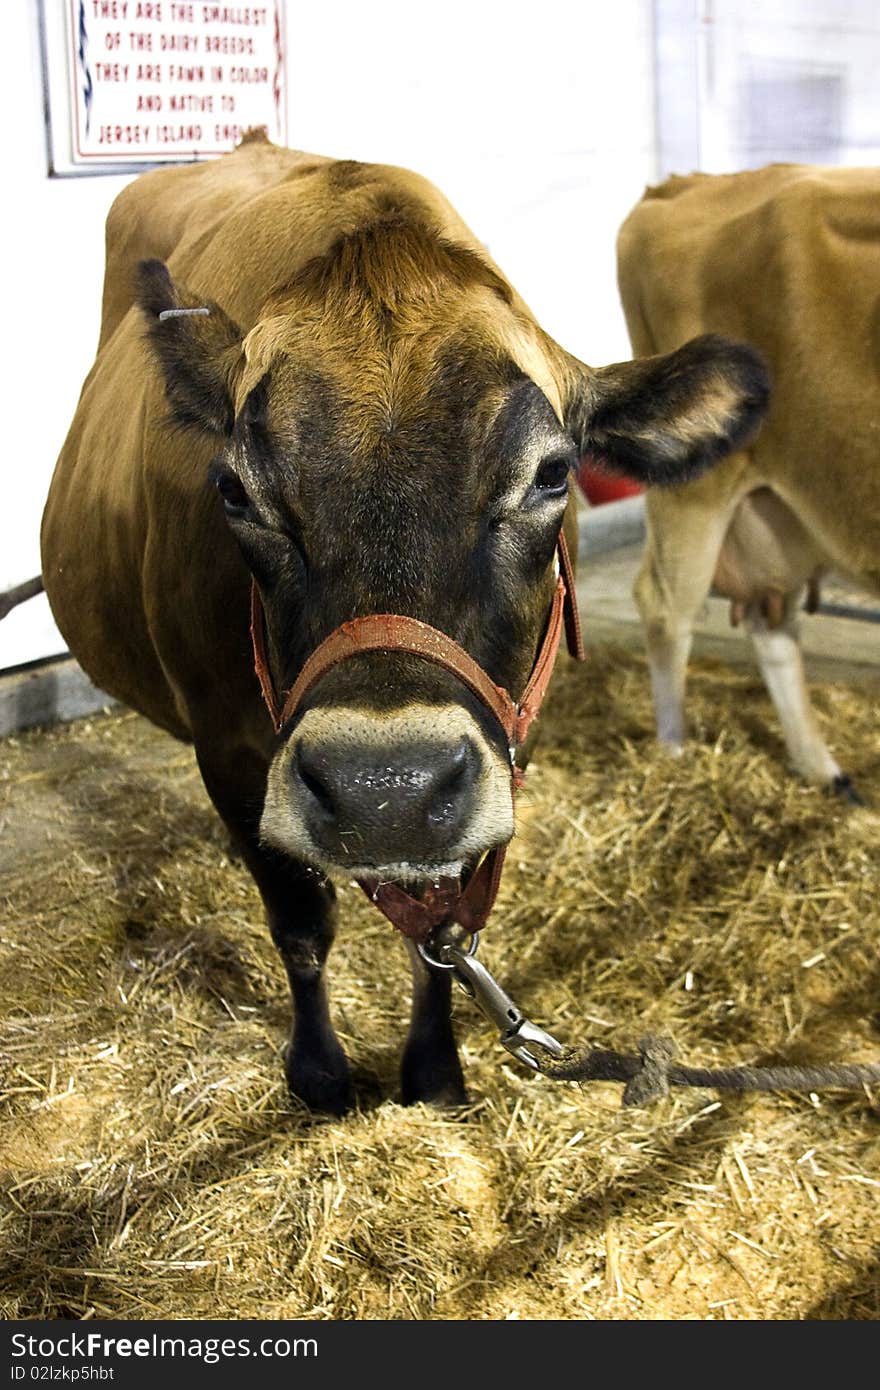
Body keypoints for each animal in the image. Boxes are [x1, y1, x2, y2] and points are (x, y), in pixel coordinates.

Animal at [42, 135, 767, 1112]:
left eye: (551, 474)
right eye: (234, 489)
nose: (382, 788)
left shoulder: (503, 738)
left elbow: (445, 930)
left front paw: (432, 1068)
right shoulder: (229, 747)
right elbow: (302, 923)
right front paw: (317, 1073)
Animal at [617, 161, 878, 795]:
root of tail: (686, 182)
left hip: (776, 508)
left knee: (770, 621)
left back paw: (822, 770)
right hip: (695, 483)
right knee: (664, 607)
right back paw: (674, 758)